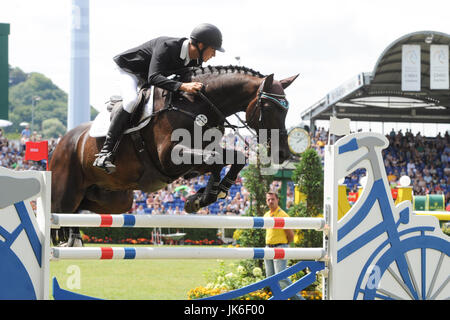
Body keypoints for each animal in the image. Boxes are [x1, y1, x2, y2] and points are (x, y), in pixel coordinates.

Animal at [49, 65, 298, 245]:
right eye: (268, 107)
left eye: (287, 109)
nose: (283, 152)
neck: (196, 105)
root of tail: (62, 143)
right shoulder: (171, 157)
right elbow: (216, 159)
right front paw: (204, 196)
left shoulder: (194, 160)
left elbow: (233, 158)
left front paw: (205, 195)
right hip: (65, 194)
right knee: (57, 214)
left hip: (115, 200)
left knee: (81, 208)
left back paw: (73, 236)